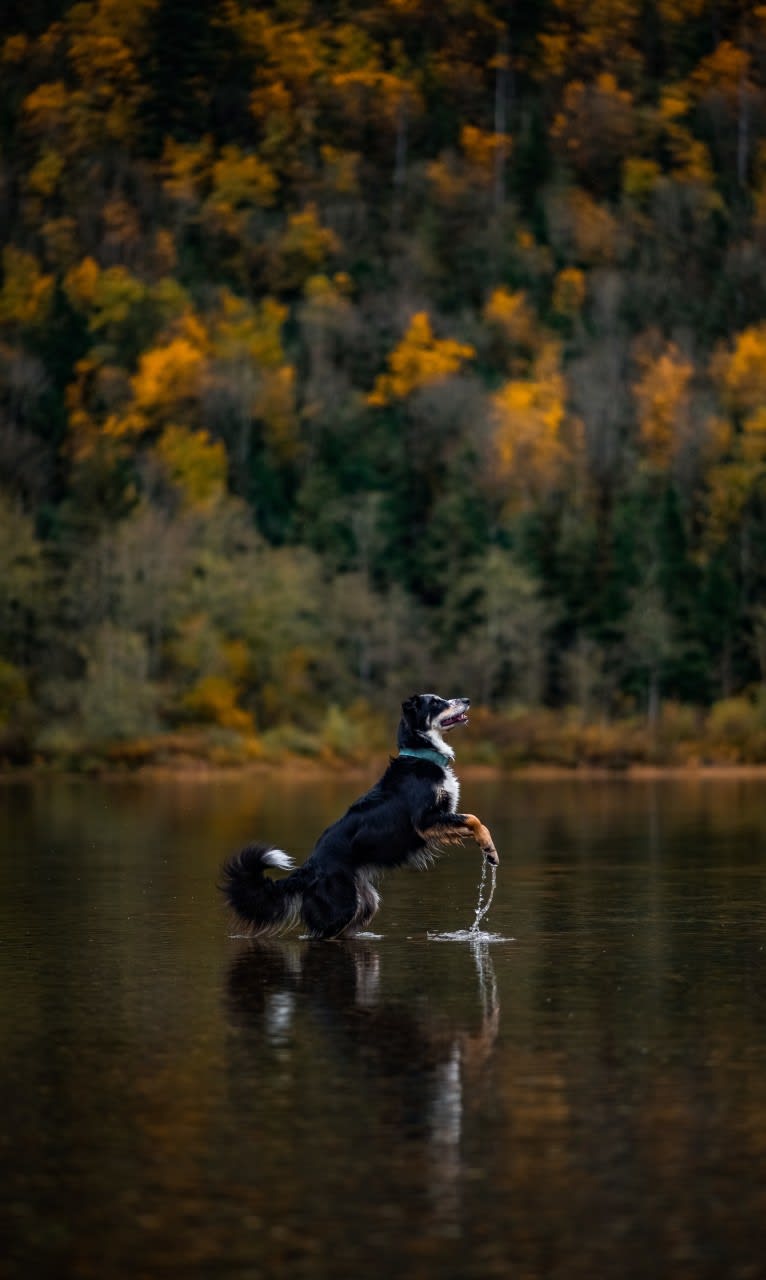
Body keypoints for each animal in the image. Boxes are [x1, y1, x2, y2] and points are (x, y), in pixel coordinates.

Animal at [219, 696, 502, 947]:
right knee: (319, 934)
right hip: (341, 908)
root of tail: (309, 869)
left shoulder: (440, 820)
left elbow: (474, 822)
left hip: (365, 905)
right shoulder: (426, 820)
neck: (421, 756)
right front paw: (489, 849)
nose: (466, 700)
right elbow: (474, 818)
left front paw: (489, 851)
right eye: (436, 703)